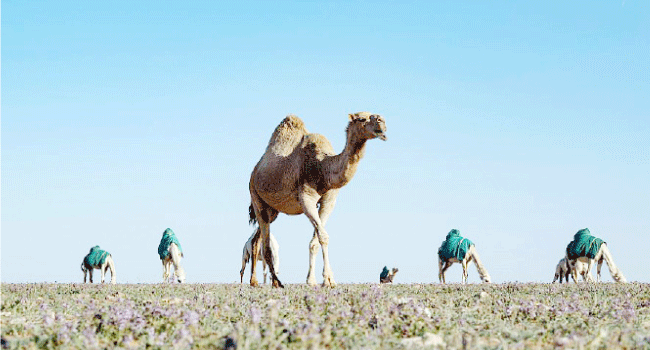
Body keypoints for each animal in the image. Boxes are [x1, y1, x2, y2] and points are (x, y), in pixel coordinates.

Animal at [247, 112, 384, 288]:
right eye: (361, 118)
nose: (381, 122)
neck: (323, 167)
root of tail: (255, 171)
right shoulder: (306, 199)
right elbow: (323, 237)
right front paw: (329, 280)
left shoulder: (329, 201)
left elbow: (315, 241)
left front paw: (313, 280)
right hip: (256, 197)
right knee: (265, 243)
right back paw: (273, 282)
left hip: (273, 211)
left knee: (257, 240)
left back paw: (261, 281)